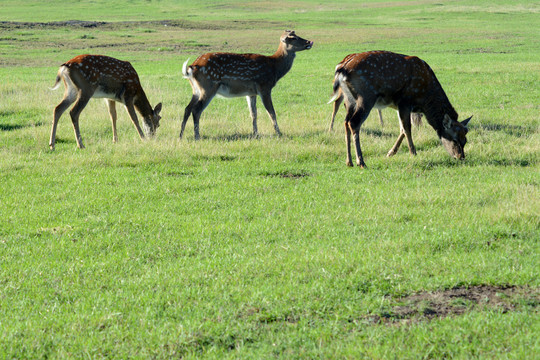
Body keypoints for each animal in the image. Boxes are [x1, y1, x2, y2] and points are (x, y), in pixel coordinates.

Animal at [180, 30, 312, 140]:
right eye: (293, 38)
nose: (310, 42)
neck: (274, 68)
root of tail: (192, 67)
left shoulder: (251, 92)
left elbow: (253, 113)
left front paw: (255, 134)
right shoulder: (264, 86)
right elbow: (271, 112)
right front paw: (279, 133)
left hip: (196, 89)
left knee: (187, 108)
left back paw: (181, 135)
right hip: (208, 87)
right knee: (196, 109)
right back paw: (197, 136)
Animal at [326, 50, 470, 167]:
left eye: (465, 140)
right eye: (455, 139)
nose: (460, 157)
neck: (425, 99)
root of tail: (342, 67)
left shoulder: (398, 106)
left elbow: (401, 129)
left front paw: (390, 153)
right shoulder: (405, 101)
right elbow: (407, 128)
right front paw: (413, 153)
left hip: (349, 99)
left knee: (345, 122)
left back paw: (349, 161)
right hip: (365, 96)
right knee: (354, 122)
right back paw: (361, 162)